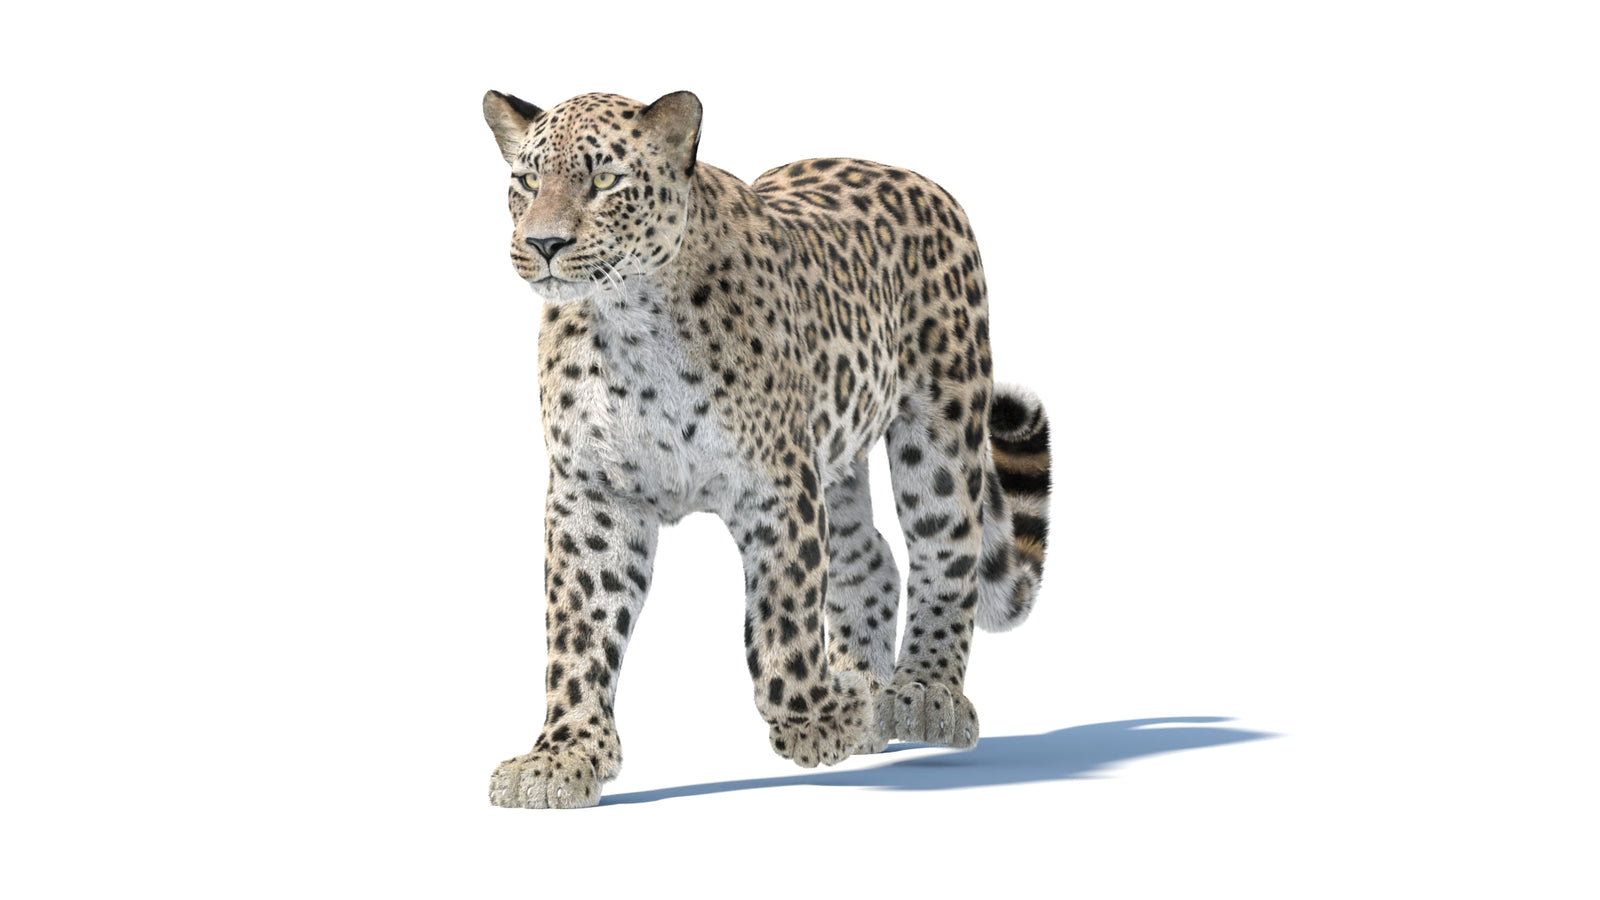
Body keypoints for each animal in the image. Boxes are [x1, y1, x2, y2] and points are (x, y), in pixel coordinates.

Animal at [481, 90, 1052, 809]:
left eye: (605, 180)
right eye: (527, 182)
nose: (544, 243)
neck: (630, 321)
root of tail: (906, 172)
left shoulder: (776, 482)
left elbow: (784, 610)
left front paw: (815, 721)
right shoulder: (592, 491)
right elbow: (581, 625)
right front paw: (562, 756)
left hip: (941, 425)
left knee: (946, 554)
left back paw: (923, 693)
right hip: (835, 452)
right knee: (871, 558)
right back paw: (866, 691)